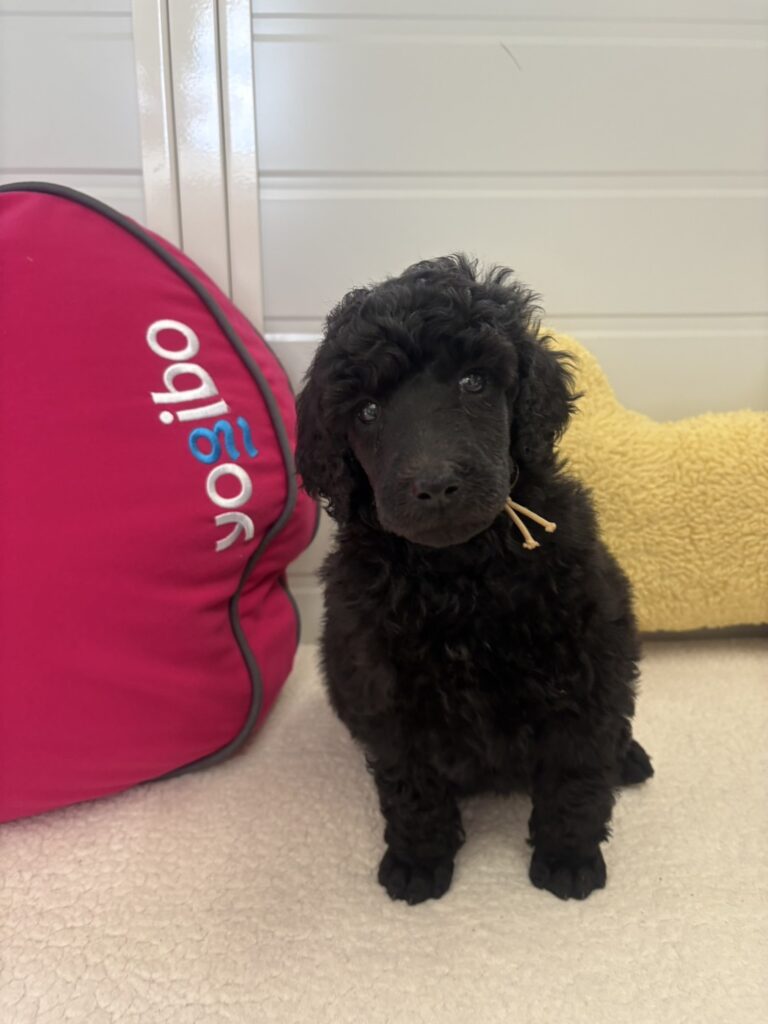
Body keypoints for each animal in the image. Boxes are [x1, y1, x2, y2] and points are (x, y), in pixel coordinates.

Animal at [296, 255, 653, 904]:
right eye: (367, 412)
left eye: (473, 382)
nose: (435, 485)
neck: (462, 573)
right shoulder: (385, 687)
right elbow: (411, 785)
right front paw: (418, 861)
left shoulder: (588, 659)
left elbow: (577, 770)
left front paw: (569, 858)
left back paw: (629, 758)